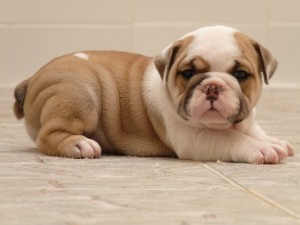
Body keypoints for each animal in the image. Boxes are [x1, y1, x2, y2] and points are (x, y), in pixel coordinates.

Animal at [13, 25, 292, 163]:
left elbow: (252, 130)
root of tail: (32, 79)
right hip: (81, 93)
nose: (212, 86)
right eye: (188, 73)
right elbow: (231, 139)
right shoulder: (192, 138)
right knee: (48, 135)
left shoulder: (245, 121)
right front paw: (261, 149)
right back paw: (79, 144)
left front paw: (272, 141)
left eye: (241, 74)